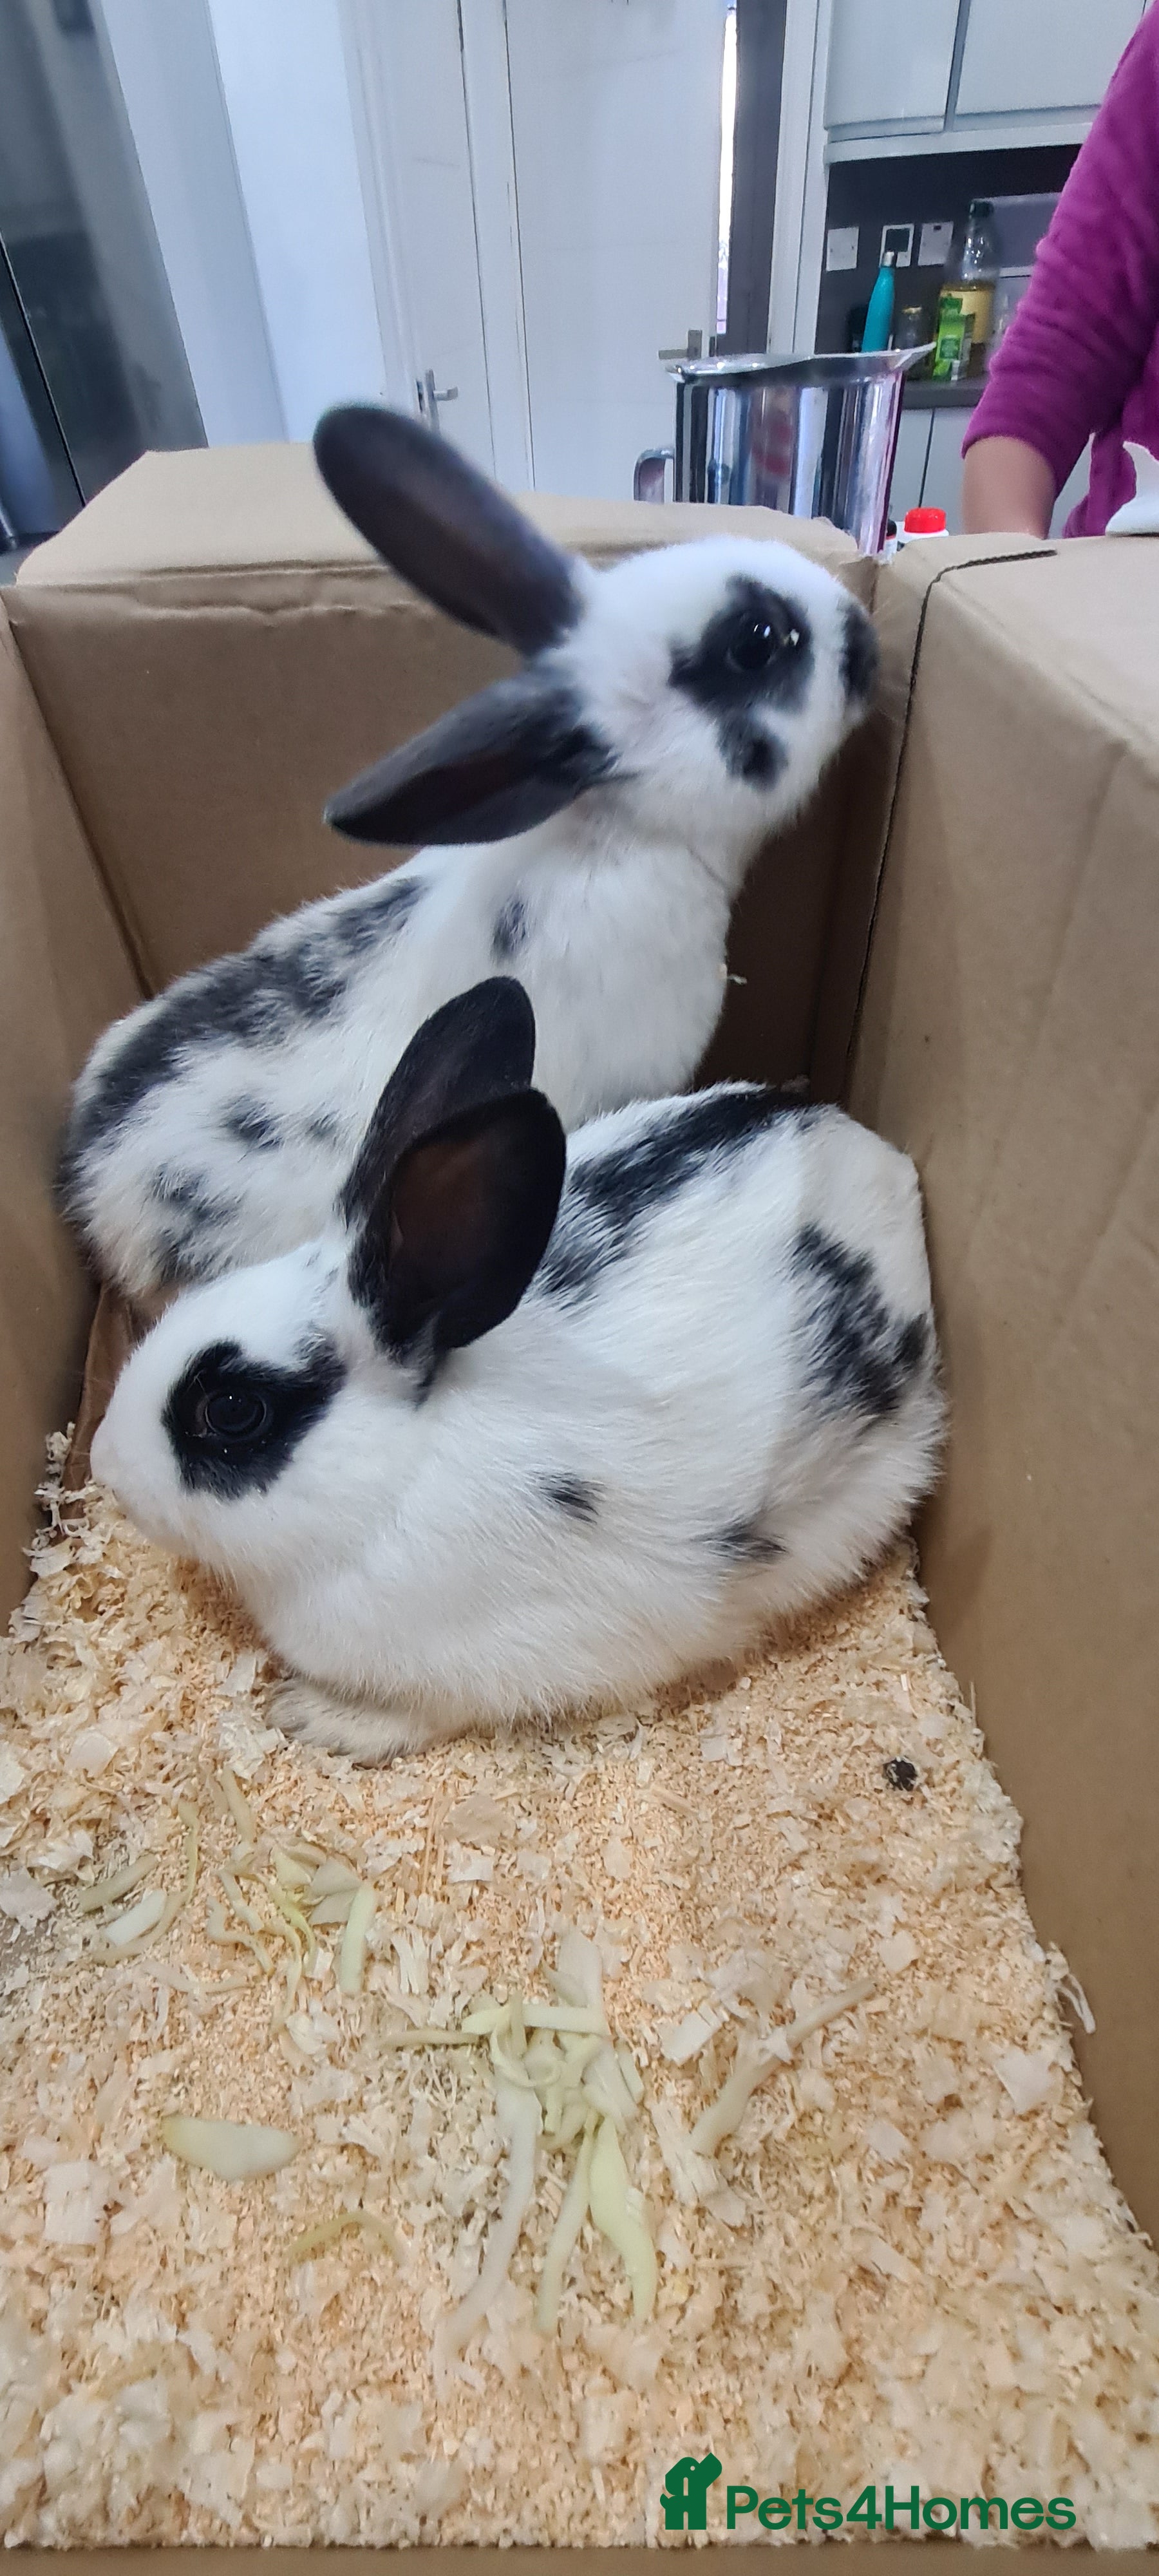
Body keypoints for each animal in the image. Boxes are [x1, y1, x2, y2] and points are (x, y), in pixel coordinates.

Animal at [91, 977, 943, 1760]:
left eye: (234, 1410)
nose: (103, 1466)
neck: (394, 1479)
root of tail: (886, 1169)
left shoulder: (504, 1657)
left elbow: (425, 1714)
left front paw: (317, 1717)